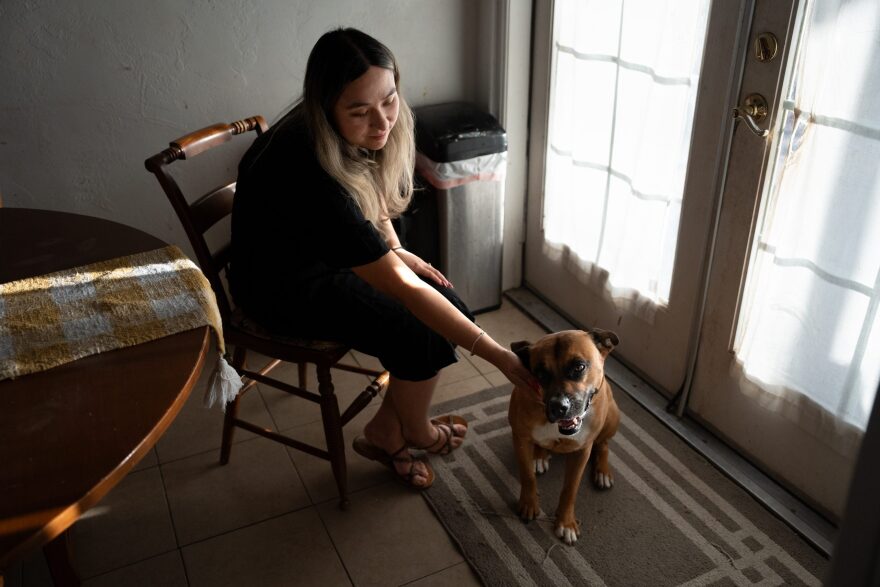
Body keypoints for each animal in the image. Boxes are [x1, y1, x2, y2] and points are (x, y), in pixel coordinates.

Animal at [506, 328, 624, 544]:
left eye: (579, 366)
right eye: (540, 374)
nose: (559, 406)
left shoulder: (582, 452)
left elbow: (570, 489)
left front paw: (566, 523)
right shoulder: (520, 438)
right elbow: (527, 475)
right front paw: (528, 504)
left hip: (612, 415)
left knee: (603, 444)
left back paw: (602, 471)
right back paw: (540, 456)